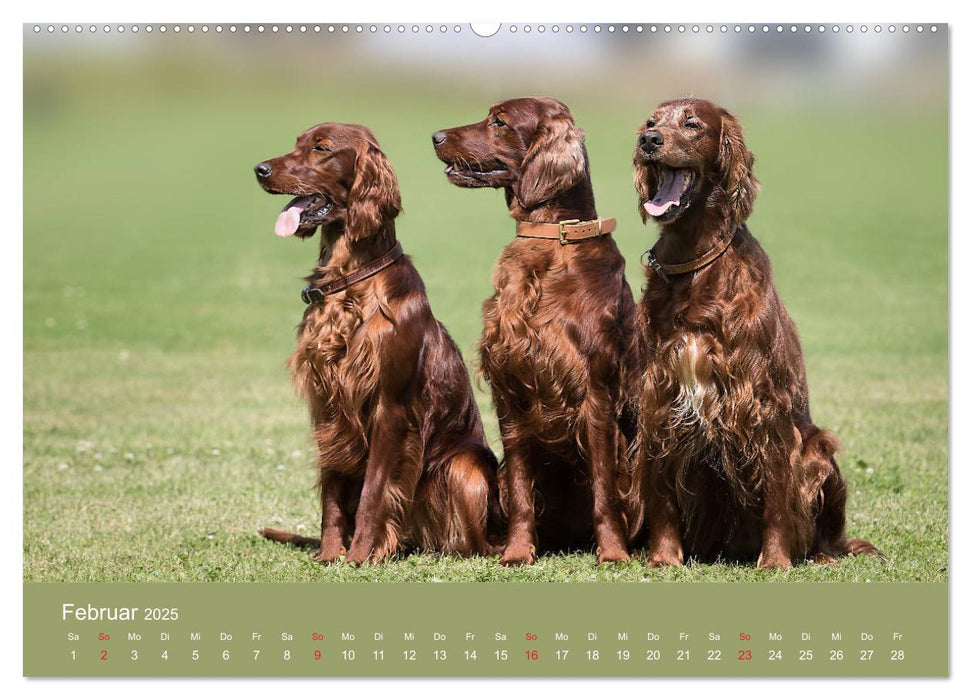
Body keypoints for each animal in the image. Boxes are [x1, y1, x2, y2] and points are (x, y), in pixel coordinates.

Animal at [254, 123, 502, 568]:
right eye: (296, 142)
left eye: (321, 148)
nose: (260, 169)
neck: (350, 281)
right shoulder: (329, 405)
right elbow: (332, 494)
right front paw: (331, 554)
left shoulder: (390, 406)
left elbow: (373, 491)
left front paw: (358, 555)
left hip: (464, 467)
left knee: (475, 544)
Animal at [432, 98, 636, 568]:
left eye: (499, 122)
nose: (435, 136)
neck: (550, 243)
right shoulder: (512, 388)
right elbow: (523, 490)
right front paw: (517, 551)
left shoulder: (597, 392)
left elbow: (604, 487)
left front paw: (613, 552)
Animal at [628, 98, 884, 568]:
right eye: (652, 122)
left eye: (692, 124)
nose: (648, 141)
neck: (694, 266)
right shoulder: (660, 396)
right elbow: (662, 496)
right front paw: (664, 557)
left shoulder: (762, 401)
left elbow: (778, 497)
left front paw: (776, 561)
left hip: (819, 450)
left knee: (824, 534)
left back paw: (818, 555)